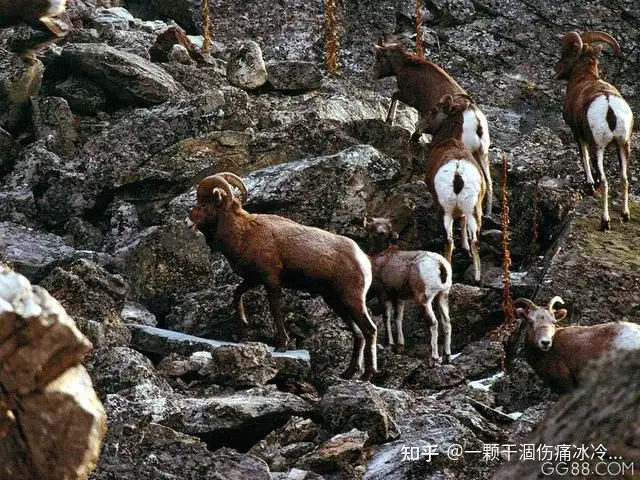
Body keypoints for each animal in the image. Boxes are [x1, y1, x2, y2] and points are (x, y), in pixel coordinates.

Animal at [182, 173, 378, 382]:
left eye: (203, 204)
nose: (187, 222)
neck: (244, 234)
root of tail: (363, 260)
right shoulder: (253, 279)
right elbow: (237, 294)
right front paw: (244, 323)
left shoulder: (271, 281)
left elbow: (275, 310)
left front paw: (282, 345)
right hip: (335, 302)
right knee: (358, 334)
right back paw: (348, 373)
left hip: (352, 300)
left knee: (369, 330)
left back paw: (367, 375)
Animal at [362, 216, 452, 366]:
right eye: (375, 225)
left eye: (386, 227)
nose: (381, 232)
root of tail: (440, 264)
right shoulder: (400, 298)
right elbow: (398, 318)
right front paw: (400, 346)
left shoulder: (384, 295)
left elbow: (387, 317)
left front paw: (390, 344)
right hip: (442, 296)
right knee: (447, 323)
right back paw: (447, 357)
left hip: (424, 300)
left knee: (433, 323)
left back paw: (434, 358)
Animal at [422, 92, 488, 284]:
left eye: (434, 111)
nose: (420, 126)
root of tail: (458, 173)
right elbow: (463, 223)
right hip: (474, 211)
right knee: (475, 241)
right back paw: (477, 278)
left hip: (445, 211)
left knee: (449, 241)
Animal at [552, 31, 632, 232]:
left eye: (567, 54)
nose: (556, 71)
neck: (583, 79)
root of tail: (609, 106)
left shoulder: (577, 134)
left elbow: (583, 156)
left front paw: (589, 184)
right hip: (624, 145)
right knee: (624, 179)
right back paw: (624, 215)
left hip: (599, 148)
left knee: (604, 181)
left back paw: (605, 223)